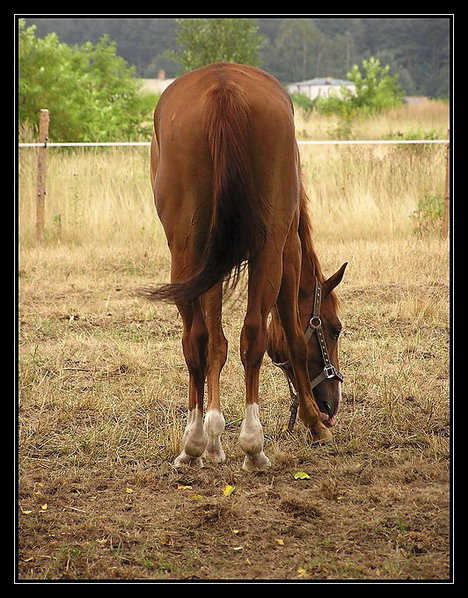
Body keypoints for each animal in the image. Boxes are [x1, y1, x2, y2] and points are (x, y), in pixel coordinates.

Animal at [149, 63, 348, 472]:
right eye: (334, 328)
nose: (331, 405)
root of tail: (223, 87)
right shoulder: (289, 251)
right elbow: (291, 335)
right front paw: (314, 426)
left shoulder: (211, 265)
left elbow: (215, 343)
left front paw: (212, 438)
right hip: (270, 249)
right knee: (254, 333)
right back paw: (253, 445)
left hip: (185, 252)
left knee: (194, 339)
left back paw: (192, 442)